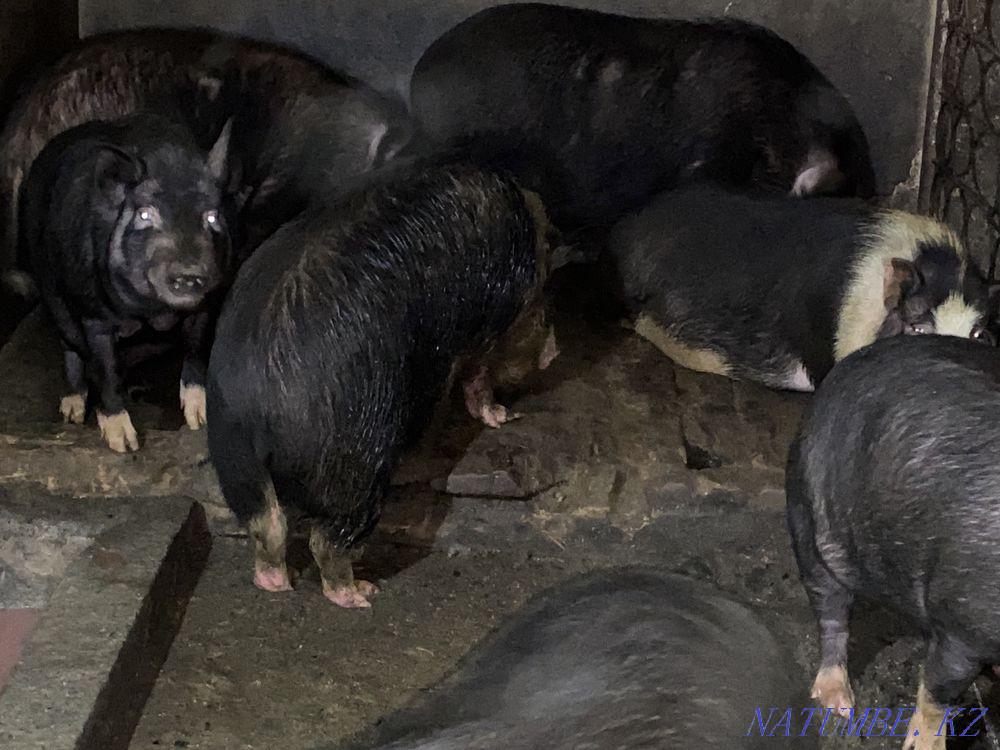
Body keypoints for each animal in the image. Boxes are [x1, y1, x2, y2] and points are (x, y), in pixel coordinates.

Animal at [18, 113, 234, 452]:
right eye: (145, 214)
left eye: (211, 217)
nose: (189, 272)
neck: (150, 313)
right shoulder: (93, 314)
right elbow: (105, 369)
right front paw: (124, 444)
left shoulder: (207, 303)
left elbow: (197, 348)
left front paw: (200, 420)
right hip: (52, 292)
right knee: (69, 346)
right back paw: (71, 413)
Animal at [206, 159, 559, 608]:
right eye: (541, 309)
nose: (555, 353)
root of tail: (255, 405)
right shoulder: (481, 326)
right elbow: (474, 375)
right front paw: (504, 415)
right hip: (353, 453)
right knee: (329, 536)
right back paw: (360, 593)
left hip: (233, 458)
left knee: (266, 524)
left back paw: (278, 582)